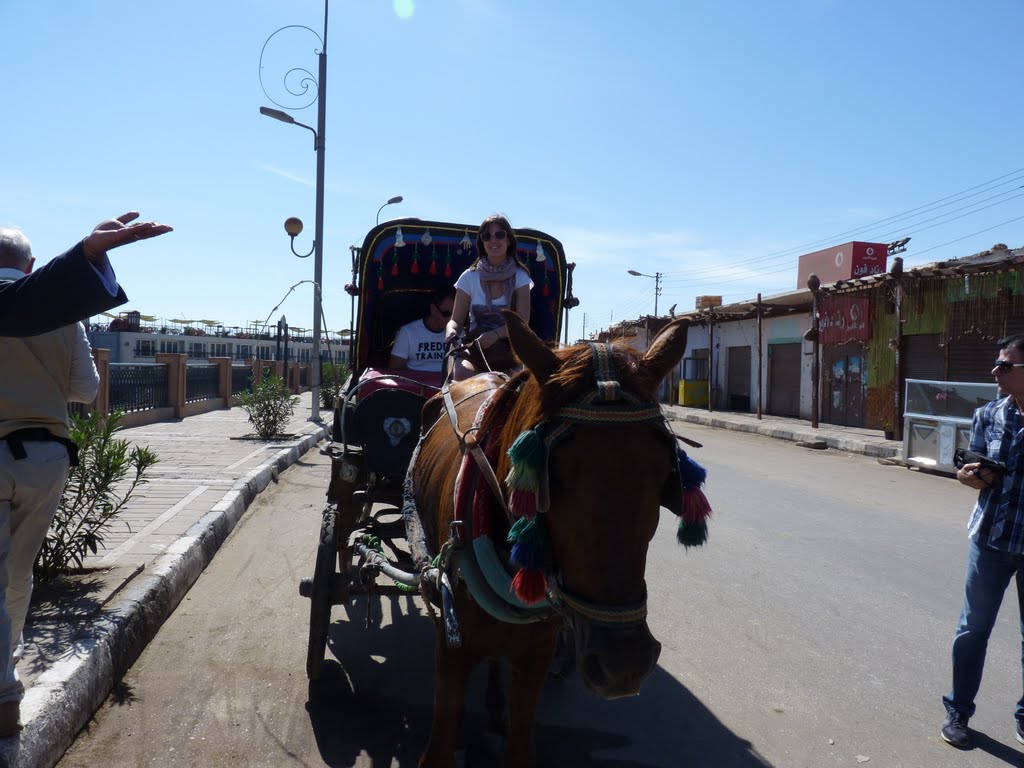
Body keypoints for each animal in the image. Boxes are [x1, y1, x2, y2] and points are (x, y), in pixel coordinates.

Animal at [407, 311, 696, 768]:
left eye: (664, 472)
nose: (624, 664)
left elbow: (520, 747)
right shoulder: (451, 644)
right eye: (551, 476)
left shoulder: (538, 654)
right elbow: (438, 749)